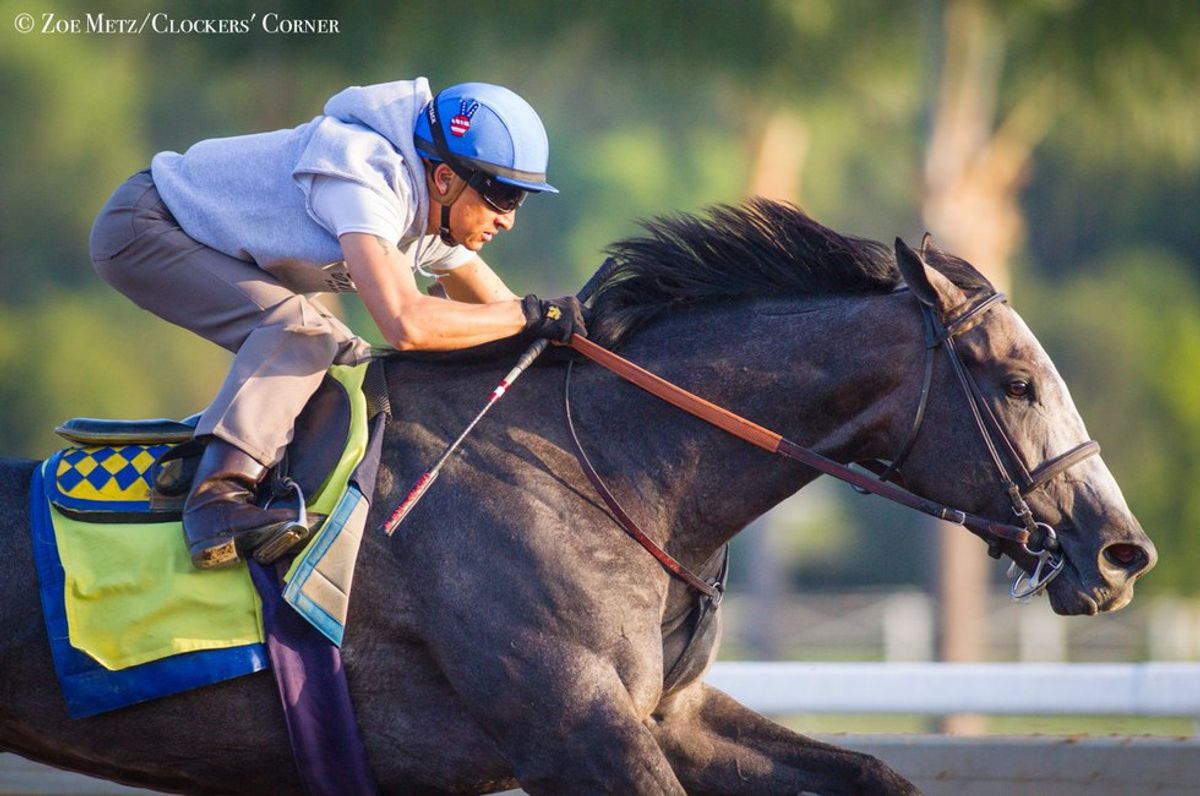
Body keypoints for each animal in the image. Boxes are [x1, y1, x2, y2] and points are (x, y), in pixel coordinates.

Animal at [0, 202, 1152, 792]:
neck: (608, 464)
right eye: (1017, 381)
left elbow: (878, 776)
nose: (1120, 551)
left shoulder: (668, 713)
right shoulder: (572, 726)